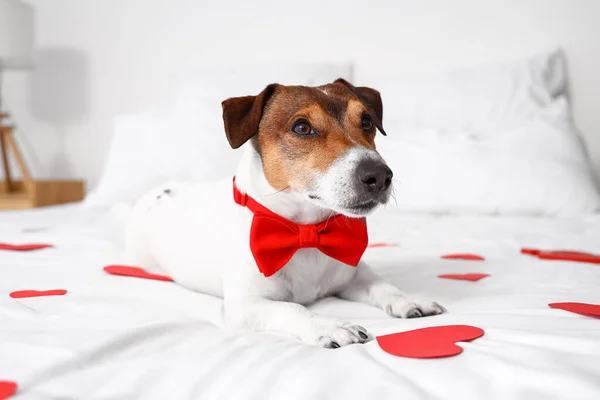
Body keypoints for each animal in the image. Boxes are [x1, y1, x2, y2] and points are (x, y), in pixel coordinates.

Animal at [126, 78, 446, 346]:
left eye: (366, 121)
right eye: (302, 127)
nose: (379, 176)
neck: (306, 231)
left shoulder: (353, 275)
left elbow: (384, 285)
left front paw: (410, 300)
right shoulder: (246, 306)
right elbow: (292, 309)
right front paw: (331, 326)